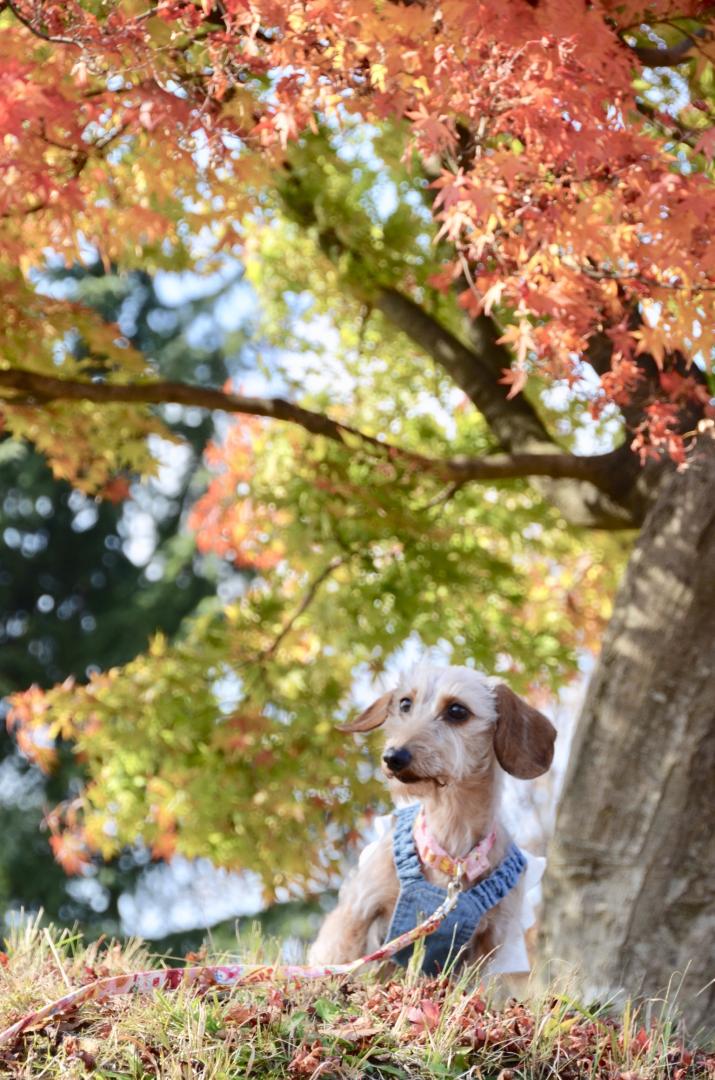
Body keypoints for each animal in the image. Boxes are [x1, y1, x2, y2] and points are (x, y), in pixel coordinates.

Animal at [311, 660, 557, 976]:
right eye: (405, 703)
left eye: (457, 710)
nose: (393, 757)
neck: (450, 848)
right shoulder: (359, 911)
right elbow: (343, 959)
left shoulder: (490, 943)